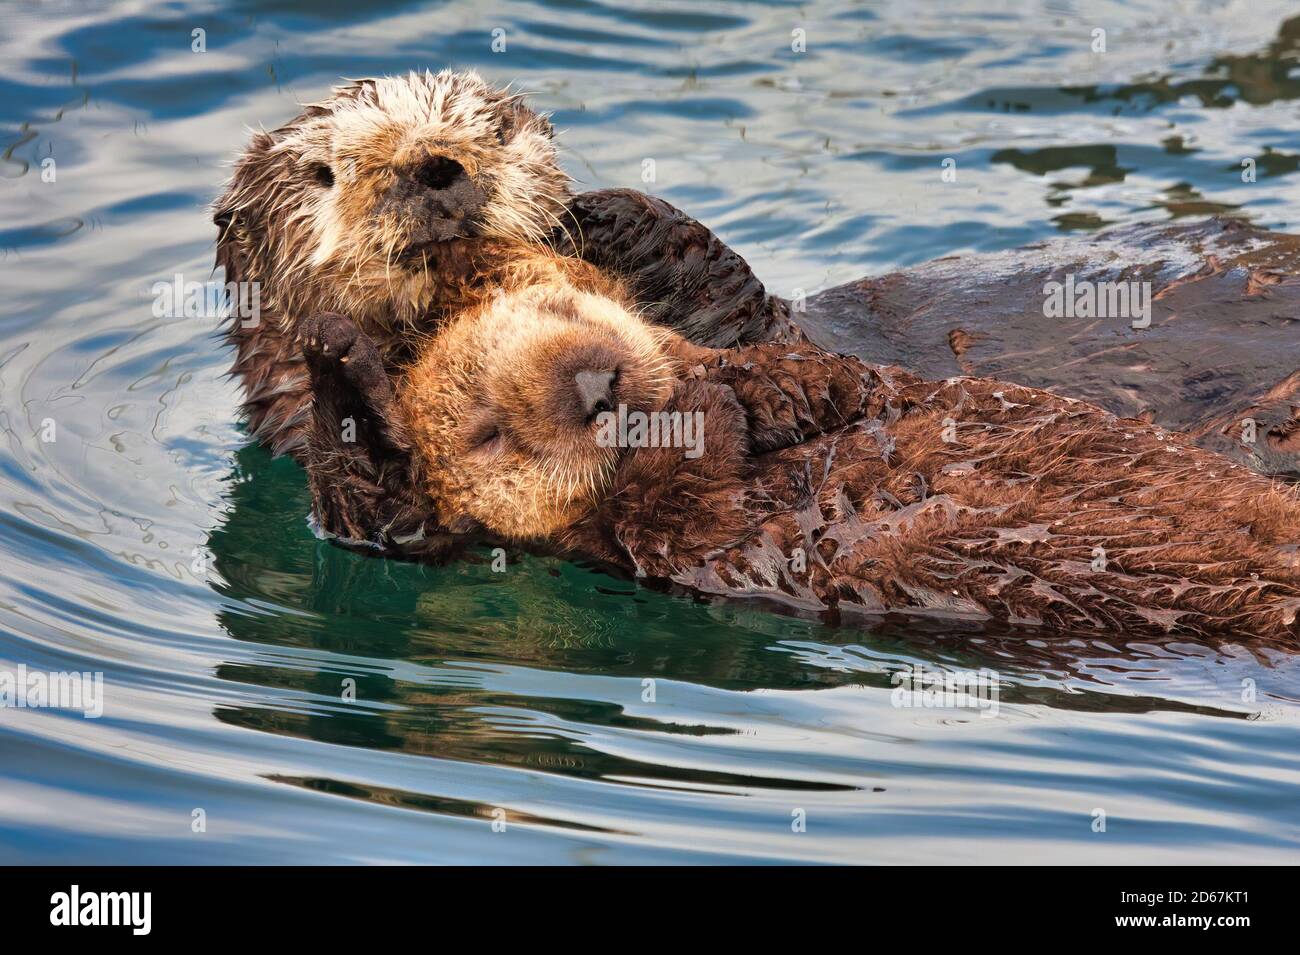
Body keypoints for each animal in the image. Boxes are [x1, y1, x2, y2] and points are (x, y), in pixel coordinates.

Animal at [295, 265, 1300, 647]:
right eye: (487, 433)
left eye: (559, 309)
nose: (593, 383)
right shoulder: (665, 542)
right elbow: (685, 506)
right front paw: (341, 368)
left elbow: (835, 377)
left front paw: (774, 388)